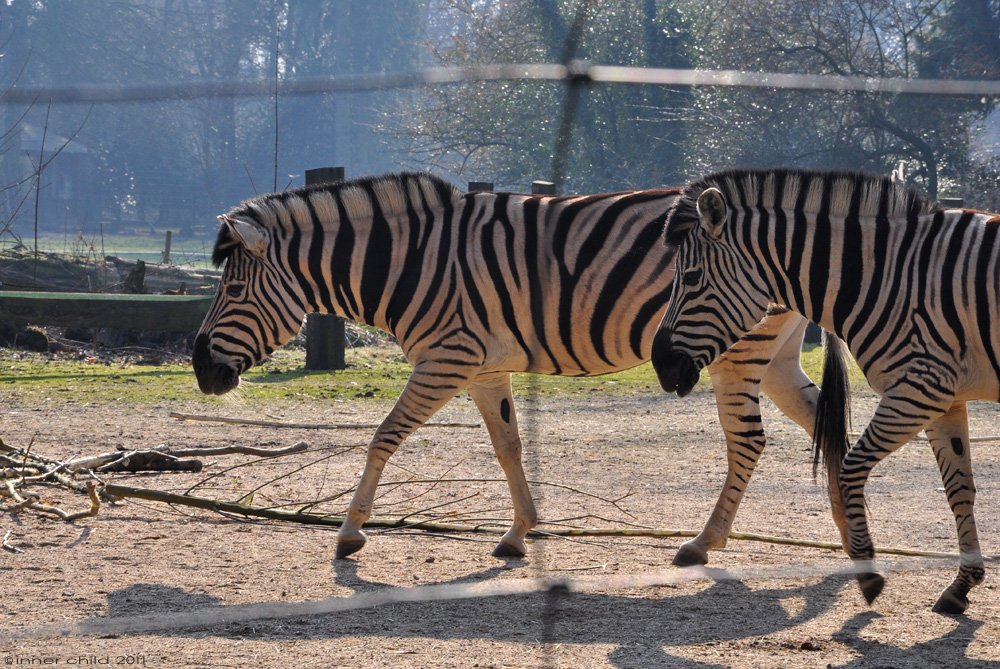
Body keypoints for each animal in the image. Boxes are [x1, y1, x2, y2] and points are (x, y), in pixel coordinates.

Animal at [193, 171, 836, 564]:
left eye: (233, 290)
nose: (200, 371)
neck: (410, 260)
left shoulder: (447, 358)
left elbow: (384, 436)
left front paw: (351, 532)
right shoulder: (481, 368)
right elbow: (509, 446)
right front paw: (519, 533)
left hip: (737, 349)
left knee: (749, 441)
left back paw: (704, 542)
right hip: (775, 355)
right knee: (821, 425)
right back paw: (845, 529)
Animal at [652, 166, 996, 612]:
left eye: (692, 278)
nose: (659, 364)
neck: (889, 277)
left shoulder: (920, 389)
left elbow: (850, 467)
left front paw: (867, 570)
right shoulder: (945, 398)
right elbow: (959, 488)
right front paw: (961, 585)